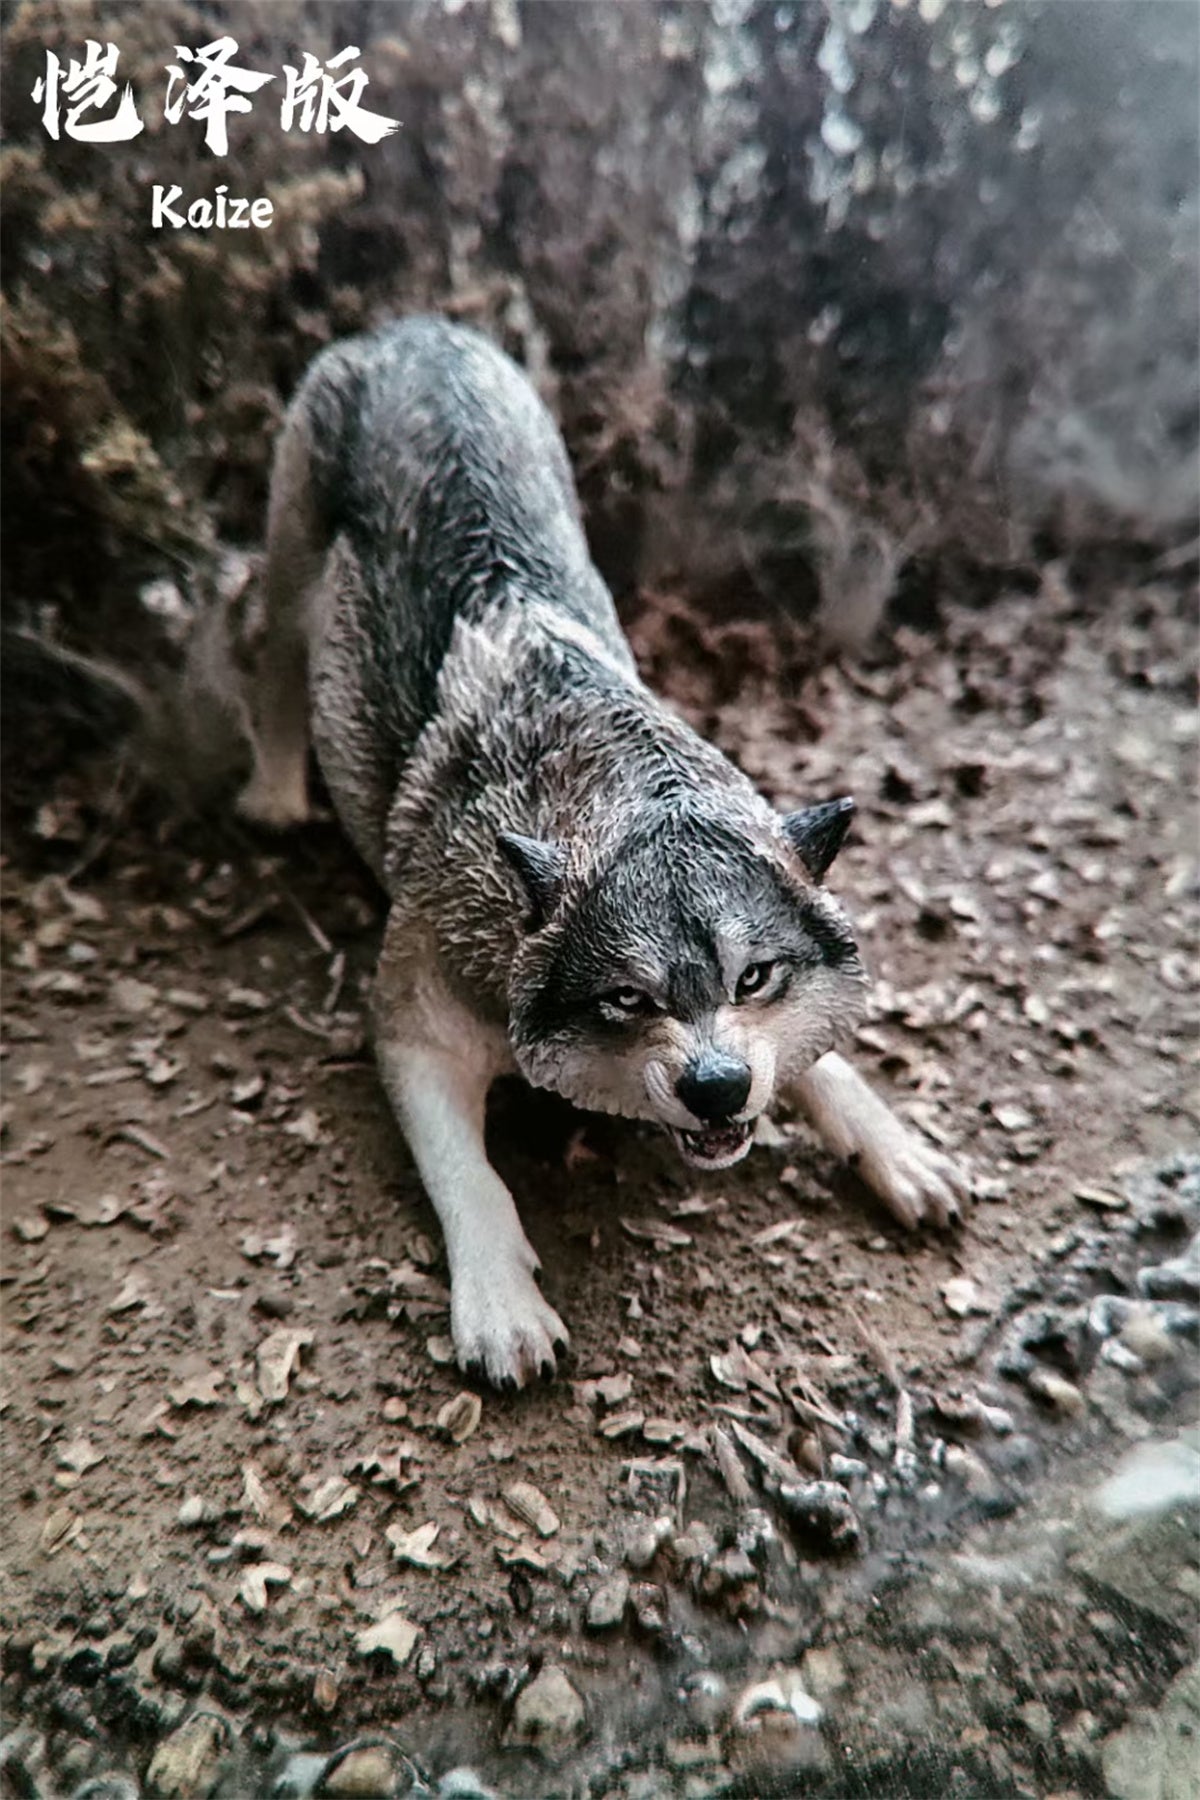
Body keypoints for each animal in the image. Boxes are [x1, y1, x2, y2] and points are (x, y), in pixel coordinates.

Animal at [239, 317, 969, 1387]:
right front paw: (503, 1313)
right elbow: (473, 1179)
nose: (717, 1088)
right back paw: (273, 796)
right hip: (292, 558)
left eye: (754, 979)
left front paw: (901, 1151)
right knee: (271, 657)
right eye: (628, 1000)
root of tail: (413, 329)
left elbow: (829, 1065)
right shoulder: (413, 1035)